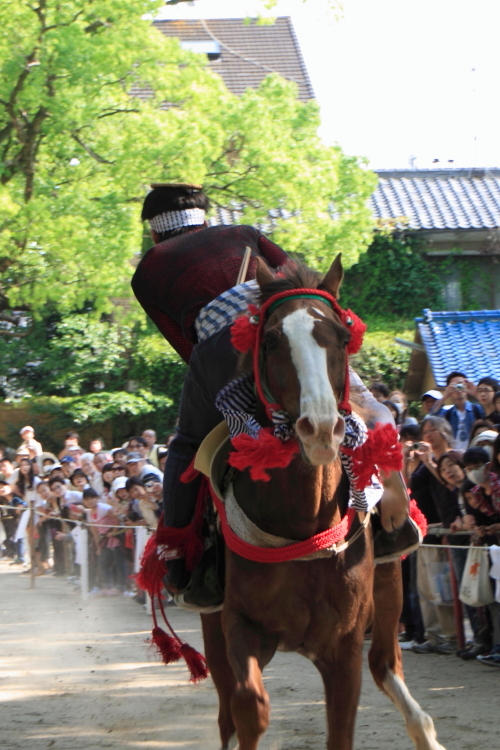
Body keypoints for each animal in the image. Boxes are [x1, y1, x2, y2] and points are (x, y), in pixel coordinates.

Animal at [197, 254, 444, 750]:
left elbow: (342, 725)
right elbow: (249, 708)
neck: (303, 521)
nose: (321, 428)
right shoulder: (240, 624)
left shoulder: (343, 643)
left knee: (385, 663)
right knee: (227, 711)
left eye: (343, 337)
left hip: (389, 584)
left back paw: (424, 729)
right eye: (272, 339)